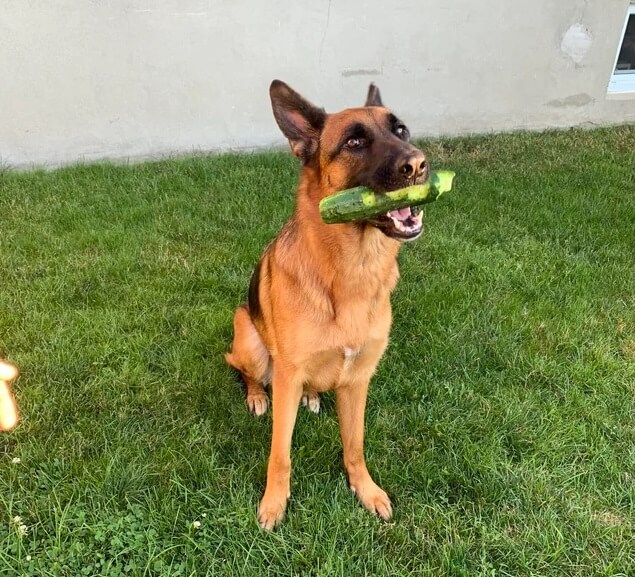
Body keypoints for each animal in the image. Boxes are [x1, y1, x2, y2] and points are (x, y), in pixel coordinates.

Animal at [226, 79, 430, 528]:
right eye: (354, 141)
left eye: (401, 130)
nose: (419, 165)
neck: (351, 271)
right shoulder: (287, 376)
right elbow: (280, 453)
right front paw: (274, 502)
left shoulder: (358, 381)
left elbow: (355, 446)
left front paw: (364, 489)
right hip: (249, 341)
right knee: (248, 371)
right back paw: (256, 396)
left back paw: (314, 397)